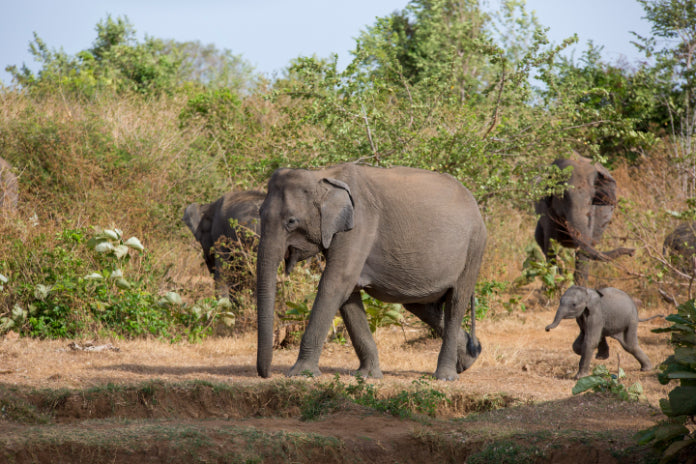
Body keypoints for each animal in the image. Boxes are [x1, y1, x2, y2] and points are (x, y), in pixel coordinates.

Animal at [255, 163, 487, 381]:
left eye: (291, 221)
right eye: (259, 214)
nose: (266, 375)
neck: (322, 176)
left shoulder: (360, 224)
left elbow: (336, 283)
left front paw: (300, 374)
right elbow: (348, 294)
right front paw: (367, 376)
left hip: (474, 248)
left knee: (455, 302)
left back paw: (446, 376)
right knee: (421, 306)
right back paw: (469, 359)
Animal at [534, 154, 634, 285]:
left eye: (592, 198)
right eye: (564, 195)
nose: (632, 252)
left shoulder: (593, 212)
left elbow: (584, 247)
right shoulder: (547, 208)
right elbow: (551, 244)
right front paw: (555, 283)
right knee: (540, 239)